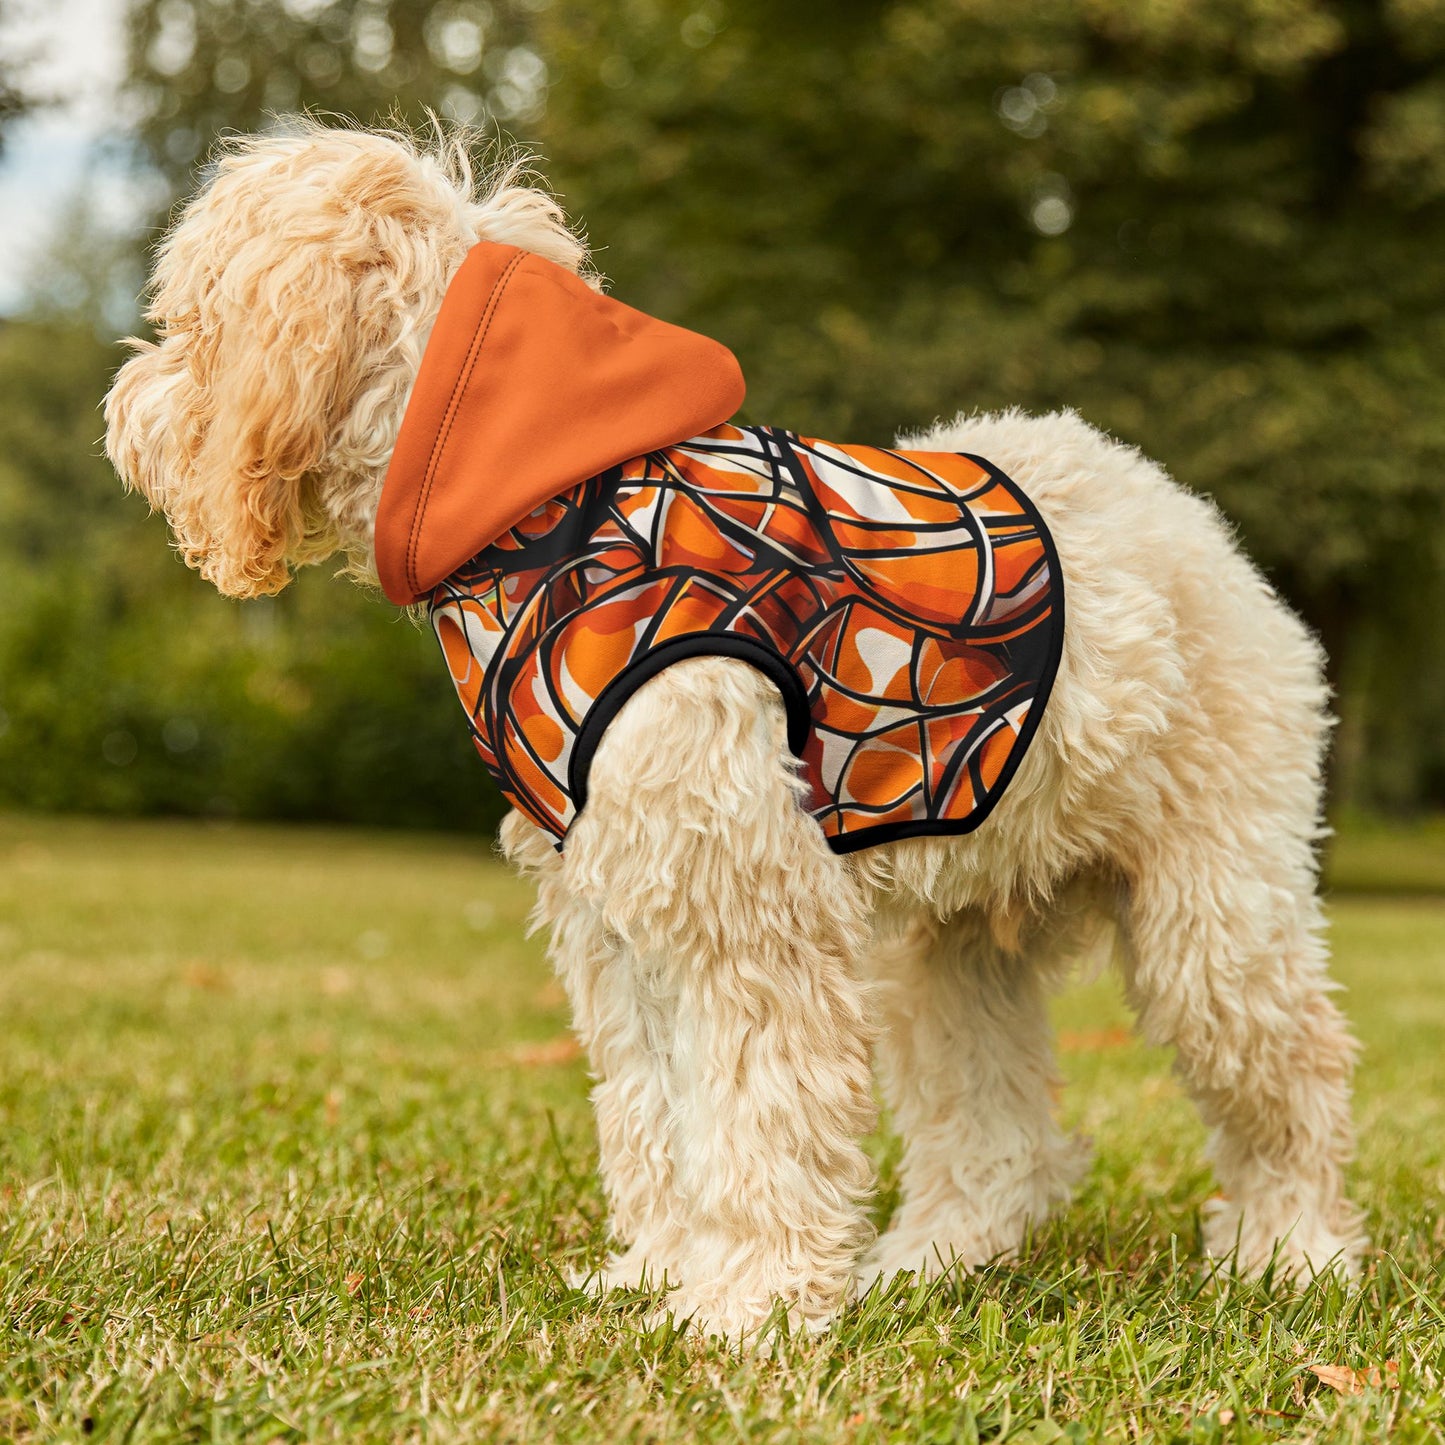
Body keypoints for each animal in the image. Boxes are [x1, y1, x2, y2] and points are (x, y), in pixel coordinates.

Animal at [106, 124, 1358, 1340]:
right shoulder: (616, 917)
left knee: (1293, 1074)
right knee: (997, 1134)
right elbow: (656, 1111)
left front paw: (746, 1303)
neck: (547, 512)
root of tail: (1186, 515)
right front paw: (661, 1272)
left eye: (189, 322)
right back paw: (931, 1261)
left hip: (1213, 913)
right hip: (949, 947)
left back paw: (1291, 1252)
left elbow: (758, 1113)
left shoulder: (744, 906)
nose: (122, 409)